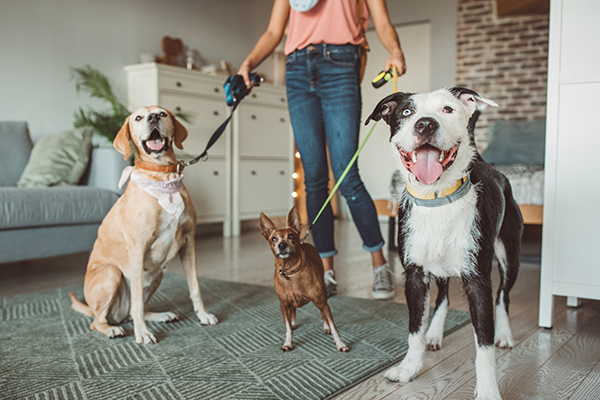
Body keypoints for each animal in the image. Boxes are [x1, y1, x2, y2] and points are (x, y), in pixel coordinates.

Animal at [69, 105, 218, 344]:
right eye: (138, 117)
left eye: (163, 113)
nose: (153, 117)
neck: (163, 175)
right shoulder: (138, 249)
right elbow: (137, 302)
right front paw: (143, 333)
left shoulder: (188, 244)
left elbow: (195, 286)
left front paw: (203, 315)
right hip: (112, 273)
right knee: (100, 320)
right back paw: (112, 329)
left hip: (158, 274)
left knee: (131, 311)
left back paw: (162, 315)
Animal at [258, 208, 352, 352]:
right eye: (273, 238)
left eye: (291, 236)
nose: (282, 245)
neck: (291, 272)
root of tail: (305, 242)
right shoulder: (284, 304)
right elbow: (287, 327)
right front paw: (288, 342)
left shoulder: (321, 301)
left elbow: (333, 325)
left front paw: (340, 344)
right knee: (293, 313)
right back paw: (293, 323)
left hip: (322, 297)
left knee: (323, 314)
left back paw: (325, 327)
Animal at [366, 88, 520, 400]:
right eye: (405, 112)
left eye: (448, 109)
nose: (425, 124)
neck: (436, 198)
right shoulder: (415, 275)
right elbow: (415, 329)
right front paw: (409, 368)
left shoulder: (477, 280)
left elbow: (484, 344)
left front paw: (488, 389)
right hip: (437, 265)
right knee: (444, 297)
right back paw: (435, 333)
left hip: (510, 255)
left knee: (503, 296)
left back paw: (504, 334)